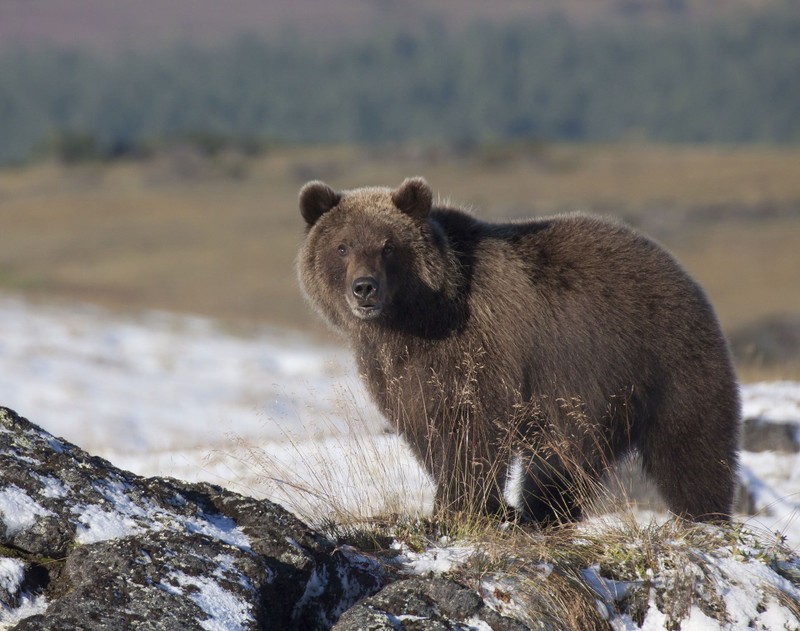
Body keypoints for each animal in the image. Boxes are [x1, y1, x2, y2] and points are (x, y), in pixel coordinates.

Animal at [296, 177, 740, 524]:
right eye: (342, 246)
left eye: (388, 246)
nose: (364, 287)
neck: (413, 320)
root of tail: (676, 266)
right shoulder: (399, 371)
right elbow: (425, 431)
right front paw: (469, 503)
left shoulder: (481, 351)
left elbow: (472, 431)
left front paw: (463, 505)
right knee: (564, 464)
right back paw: (544, 513)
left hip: (662, 359)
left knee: (691, 448)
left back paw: (704, 516)